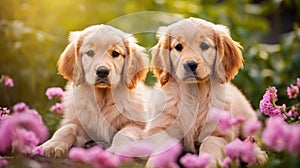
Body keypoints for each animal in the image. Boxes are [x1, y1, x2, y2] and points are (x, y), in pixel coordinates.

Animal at [39, 24, 148, 158]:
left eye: (115, 53)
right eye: (90, 52)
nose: (102, 71)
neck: (103, 99)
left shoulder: (139, 125)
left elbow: (124, 133)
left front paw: (114, 152)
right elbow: (67, 128)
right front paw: (51, 146)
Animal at [148, 18, 268, 167]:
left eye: (204, 46)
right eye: (178, 47)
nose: (190, 64)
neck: (193, 94)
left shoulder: (218, 133)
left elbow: (209, 145)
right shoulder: (161, 129)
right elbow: (161, 149)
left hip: (247, 120)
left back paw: (257, 156)